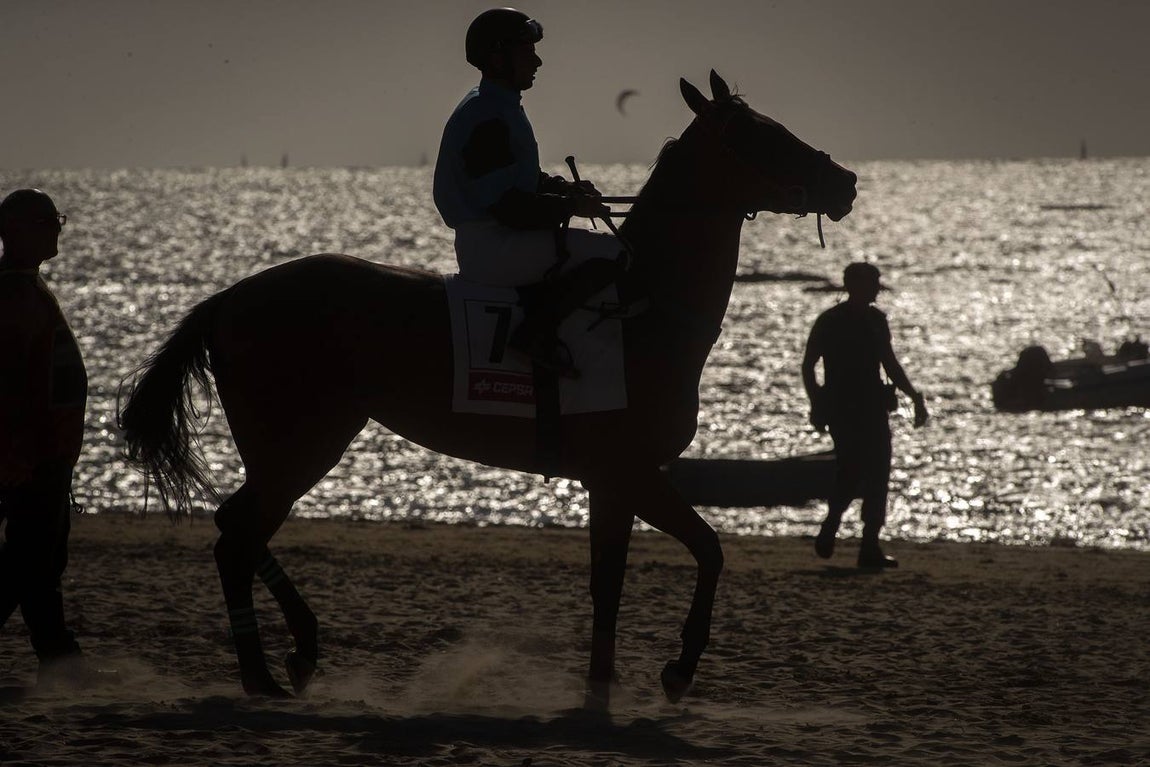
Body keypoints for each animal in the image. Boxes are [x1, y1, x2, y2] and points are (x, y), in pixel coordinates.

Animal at [119, 70, 857, 705]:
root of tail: (230, 297)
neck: (643, 307)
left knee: (235, 528)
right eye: (762, 133)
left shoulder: (612, 481)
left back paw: (298, 650)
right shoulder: (629, 471)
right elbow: (705, 549)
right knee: (237, 538)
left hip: (294, 447)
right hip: (301, 445)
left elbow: (615, 582)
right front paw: (676, 668)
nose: (846, 179)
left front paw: (603, 686)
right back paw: (264, 672)